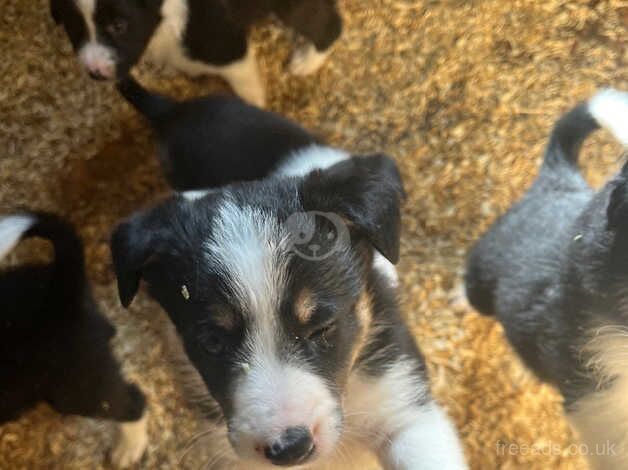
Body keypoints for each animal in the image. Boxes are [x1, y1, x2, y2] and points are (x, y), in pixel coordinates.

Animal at [49, 0, 344, 106]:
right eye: (73, 27)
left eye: (119, 25)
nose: (95, 73)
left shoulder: (225, 46)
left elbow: (247, 88)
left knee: (329, 24)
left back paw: (306, 62)